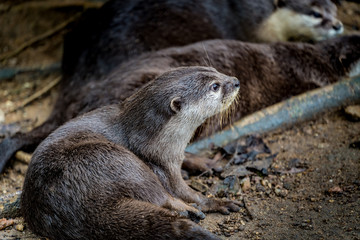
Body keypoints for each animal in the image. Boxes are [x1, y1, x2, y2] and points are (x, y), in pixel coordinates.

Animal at [21, 67, 242, 240]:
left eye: (215, 70)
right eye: (215, 86)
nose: (236, 81)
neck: (157, 142)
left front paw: (207, 163)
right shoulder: (164, 166)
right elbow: (185, 192)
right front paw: (215, 202)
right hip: (112, 159)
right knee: (158, 195)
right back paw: (190, 211)